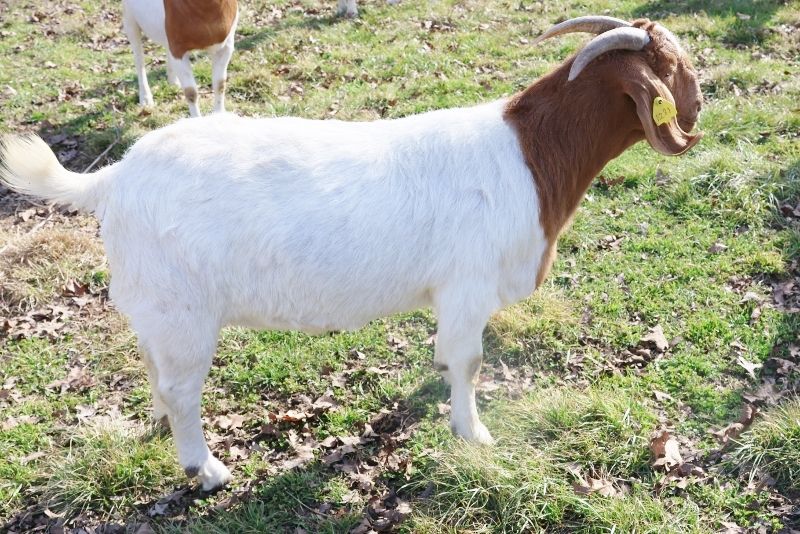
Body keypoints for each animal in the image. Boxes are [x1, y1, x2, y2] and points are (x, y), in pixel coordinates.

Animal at [0, 16, 702, 491]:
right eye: (671, 68)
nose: (701, 109)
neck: (530, 155)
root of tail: (112, 179)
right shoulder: (467, 287)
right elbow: (469, 362)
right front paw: (473, 433)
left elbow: (447, 360)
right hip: (184, 310)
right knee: (181, 386)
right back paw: (206, 468)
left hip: (158, 309)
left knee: (156, 370)